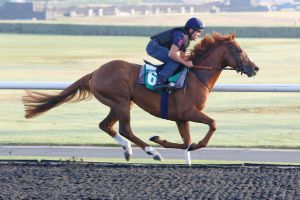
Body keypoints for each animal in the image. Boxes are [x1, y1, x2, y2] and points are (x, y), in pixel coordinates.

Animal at [22, 32, 258, 162]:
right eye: (239, 50)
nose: (254, 67)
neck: (196, 76)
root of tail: (95, 72)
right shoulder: (188, 112)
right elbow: (212, 125)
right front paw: (160, 142)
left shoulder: (181, 117)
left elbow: (187, 142)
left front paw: (163, 140)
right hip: (120, 101)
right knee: (125, 128)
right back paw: (152, 152)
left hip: (120, 103)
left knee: (106, 125)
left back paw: (128, 150)